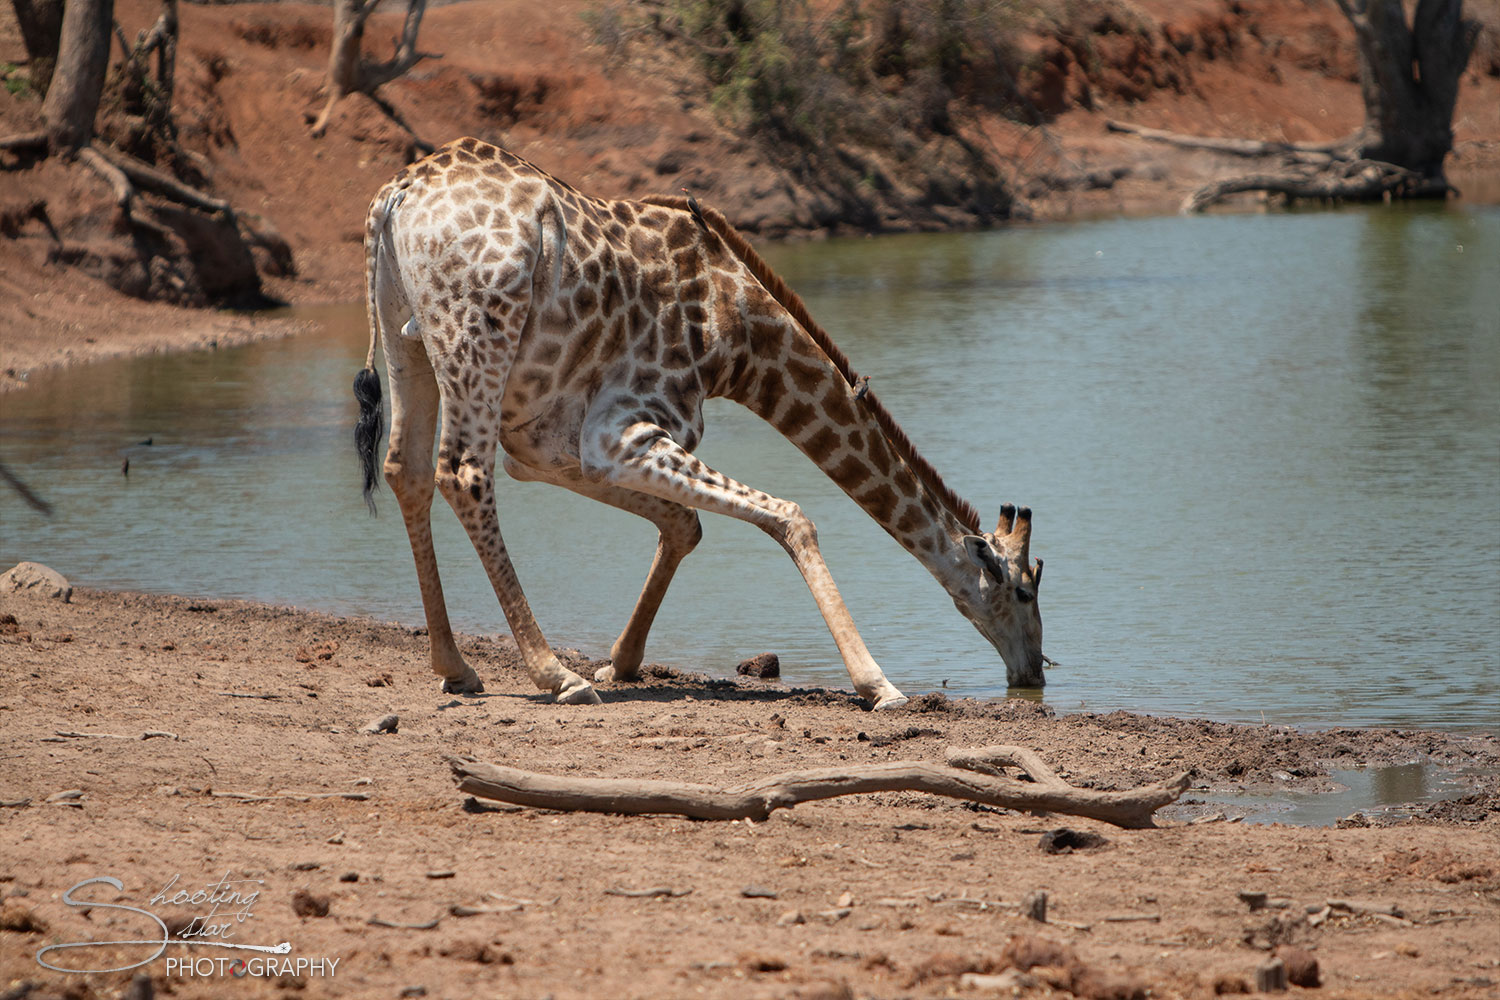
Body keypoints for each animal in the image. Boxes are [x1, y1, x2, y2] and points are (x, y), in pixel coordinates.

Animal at [353, 137, 1045, 709]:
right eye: (1024, 591)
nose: (1035, 672)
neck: (737, 335)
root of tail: (395, 197)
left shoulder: (550, 448)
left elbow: (685, 525)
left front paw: (621, 663)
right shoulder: (623, 433)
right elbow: (791, 516)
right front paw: (879, 685)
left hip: (407, 339)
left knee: (407, 469)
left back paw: (456, 667)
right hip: (478, 339)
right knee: (463, 473)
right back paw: (556, 675)